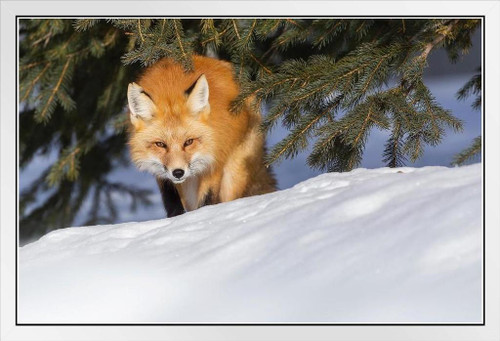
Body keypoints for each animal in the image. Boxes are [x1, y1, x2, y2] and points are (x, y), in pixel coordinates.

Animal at [127, 55, 278, 215]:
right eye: (160, 144)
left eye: (189, 142)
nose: (178, 172)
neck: (170, 90)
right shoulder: (162, 175)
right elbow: (172, 204)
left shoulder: (214, 162)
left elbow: (208, 200)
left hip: (233, 177)